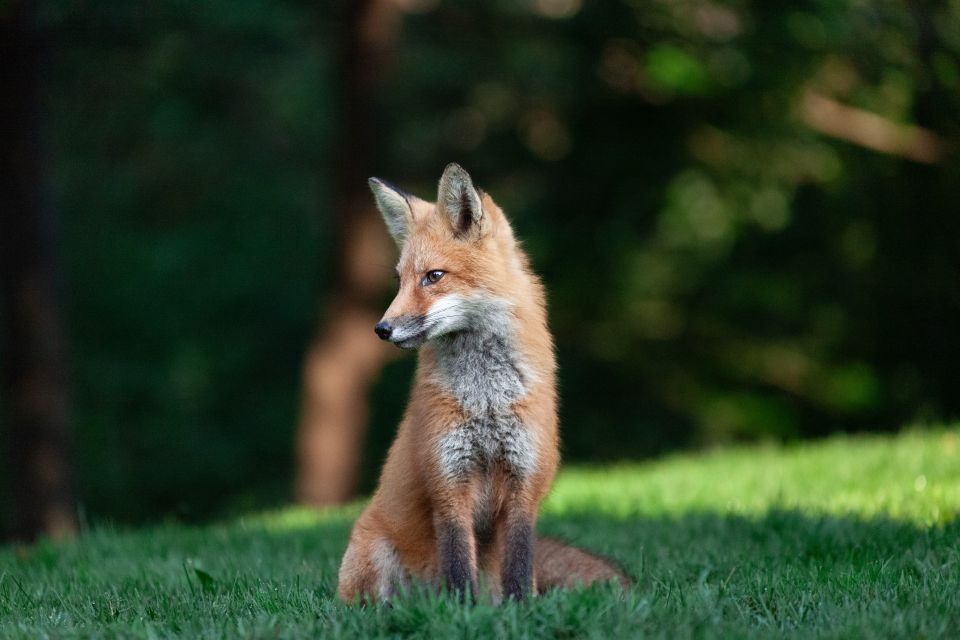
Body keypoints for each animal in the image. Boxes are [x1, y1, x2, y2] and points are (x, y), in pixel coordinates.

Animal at [336, 163, 630, 604]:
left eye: (433, 276)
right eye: (400, 280)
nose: (382, 329)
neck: (486, 401)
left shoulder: (525, 483)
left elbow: (519, 565)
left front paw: (520, 609)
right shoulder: (449, 483)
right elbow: (458, 563)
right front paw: (461, 611)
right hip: (372, 558)